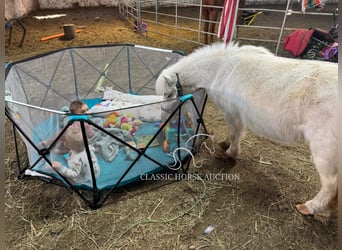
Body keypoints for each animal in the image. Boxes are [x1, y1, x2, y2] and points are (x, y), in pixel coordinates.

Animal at [156, 43, 338, 217]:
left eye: (167, 94)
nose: (162, 117)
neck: (219, 69)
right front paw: (225, 145)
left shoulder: (231, 113)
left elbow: (234, 133)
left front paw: (229, 153)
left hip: (323, 150)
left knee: (331, 184)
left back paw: (309, 207)